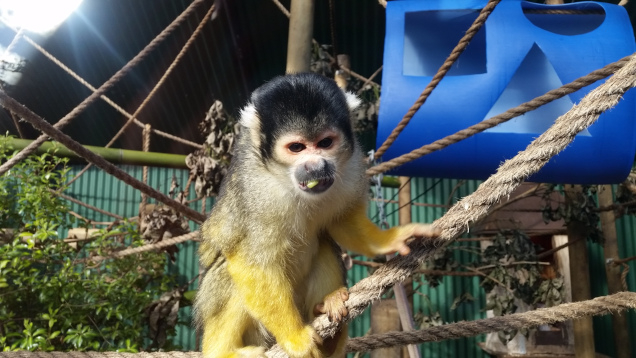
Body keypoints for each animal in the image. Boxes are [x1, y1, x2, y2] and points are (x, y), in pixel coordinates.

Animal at [194, 73, 440, 358]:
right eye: (296, 147)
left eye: (325, 143)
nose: (315, 166)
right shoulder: (253, 187)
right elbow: (252, 262)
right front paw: (295, 337)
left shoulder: (352, 163)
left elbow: (342, 222)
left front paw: (391, 239)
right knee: (227, 271)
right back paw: (223, 351)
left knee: (324, 243)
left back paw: (328, 325)